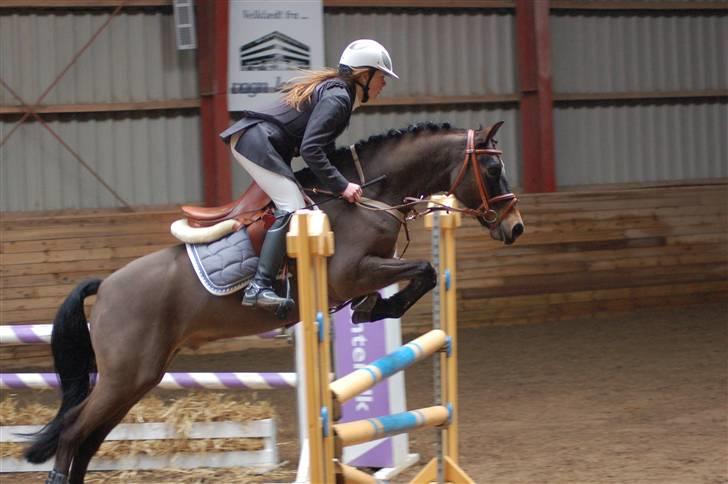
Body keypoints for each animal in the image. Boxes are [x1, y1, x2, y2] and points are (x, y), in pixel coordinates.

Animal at [24, 122, 524, 484]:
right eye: (492, 171)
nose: (515, 226)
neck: (367, 197)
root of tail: (107, 285)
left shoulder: (367, 271)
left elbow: (423, 274)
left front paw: (369, 310)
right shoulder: (350, 272)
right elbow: (423, 270)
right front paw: (375, 310)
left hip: (138, 379)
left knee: (88, 441)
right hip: (125, 376)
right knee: (73, 435)